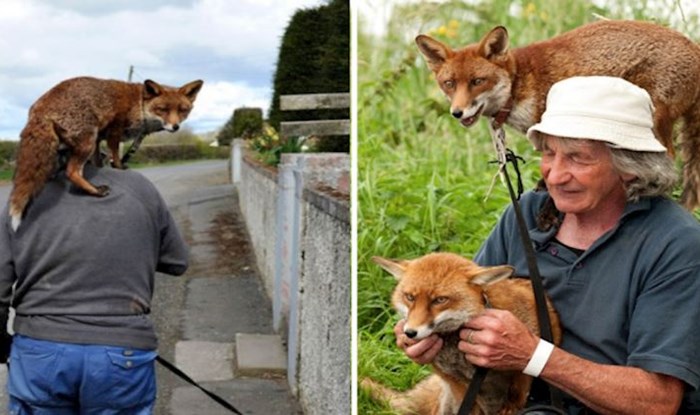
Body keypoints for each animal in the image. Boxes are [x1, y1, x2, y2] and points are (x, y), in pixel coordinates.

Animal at [9, 75, 204, 231]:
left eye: (182, 110)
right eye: (163, 109)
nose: (175, 127)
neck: (139, 104)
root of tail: (38, 109)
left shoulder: (99, 140)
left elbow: (98, 160)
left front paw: (103, 166)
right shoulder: (114, 131)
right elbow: (115, 155)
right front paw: (118, 167)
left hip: (77, 144)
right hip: (87, 140)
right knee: (71, 172)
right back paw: (96, 190)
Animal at [364, 254, 560, 415]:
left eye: (440, 300)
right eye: (410, 297)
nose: (409, 333)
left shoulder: (527, 357)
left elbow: (519, 391)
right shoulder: (454, 382)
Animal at [418, 19, 700, 210]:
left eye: (477, 81)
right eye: (449, 84)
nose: (457, 112)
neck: (521, 82)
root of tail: (694, 47)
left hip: (652, 120)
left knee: (668, 160)